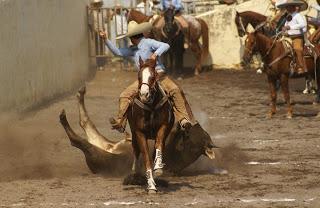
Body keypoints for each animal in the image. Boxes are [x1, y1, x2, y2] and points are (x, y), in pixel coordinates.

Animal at [126, 57, 174, 193]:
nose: (144, 94)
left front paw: (158, 169)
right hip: (134, 133)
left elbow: (158, 145)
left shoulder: (163, 127)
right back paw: (135, 172)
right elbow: (146, 157)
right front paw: (151, 185)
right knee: (136, 150)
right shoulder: (139, 133)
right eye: (139, 76)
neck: (151, 107)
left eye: (153, 77)